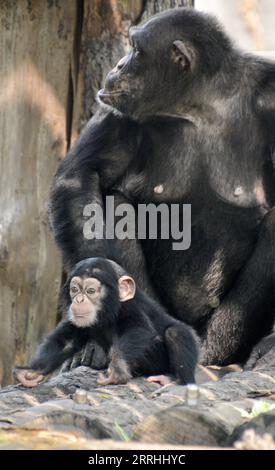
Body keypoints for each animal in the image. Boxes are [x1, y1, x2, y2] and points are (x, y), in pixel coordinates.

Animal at [14, 258, 198, 386]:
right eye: (75, 290)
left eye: (90, 291)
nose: (79, 300)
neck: (106, 316)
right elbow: (65, 342)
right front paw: (31, 372)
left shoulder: (131, 309)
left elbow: (139, 330)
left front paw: (117, 371)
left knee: (176, 333)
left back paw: (175, 380)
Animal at [48, 5, 275, 370]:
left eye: (135, 50)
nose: (118, 65)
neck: (201, 105)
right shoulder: (118, 110)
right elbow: (81, 178)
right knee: (114, 205)